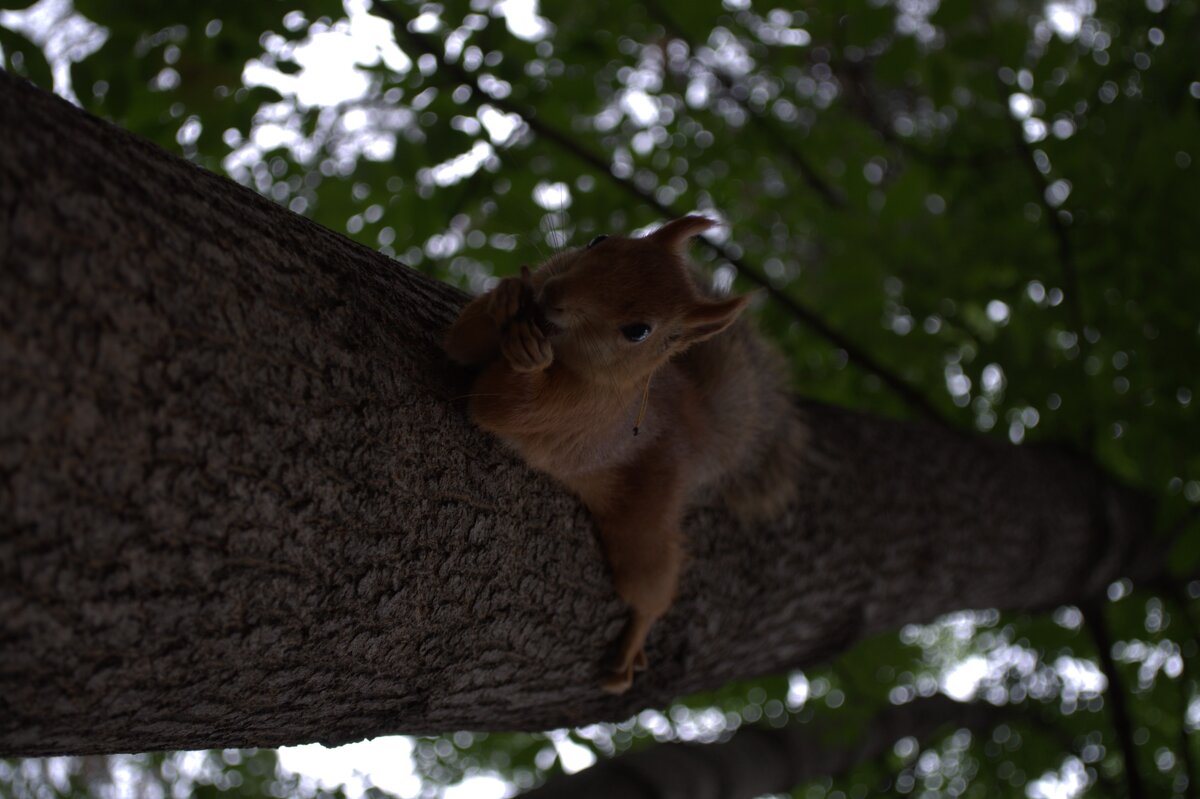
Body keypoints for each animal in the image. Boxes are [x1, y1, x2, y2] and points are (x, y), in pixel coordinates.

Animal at [444, 215, 803, 693]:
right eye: (599, 241)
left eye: (637, 331)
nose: (553, 295)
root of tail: (695, 428)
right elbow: (460, 341)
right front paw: (507, 295)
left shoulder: (577, 412)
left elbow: (502, 407)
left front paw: (527, 356)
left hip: (645, 525)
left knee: (652, 591)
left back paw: (631, 648)